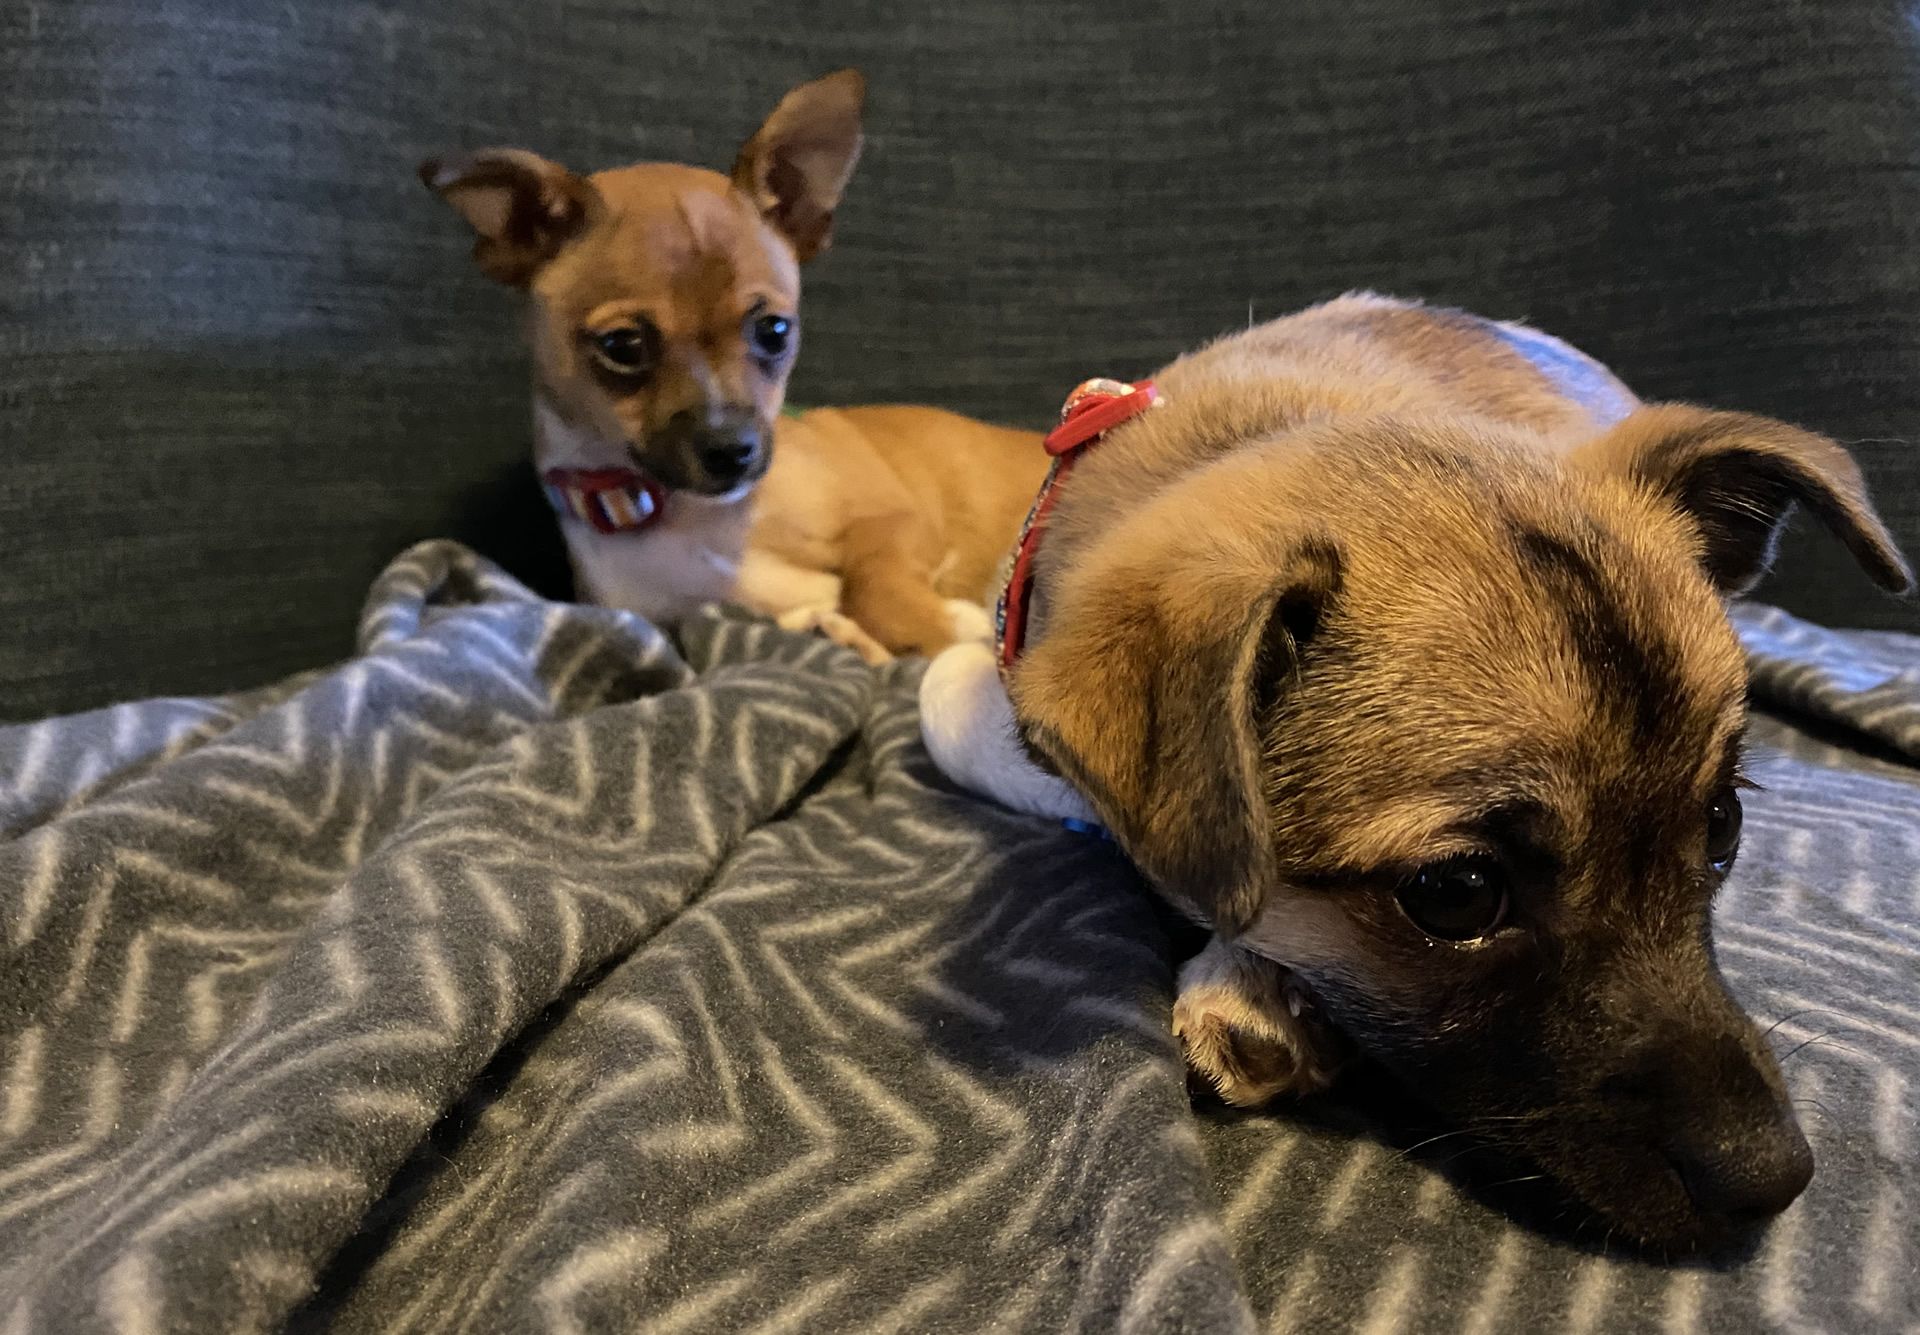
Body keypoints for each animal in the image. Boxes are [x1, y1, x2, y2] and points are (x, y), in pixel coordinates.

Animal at [426, 72, 1044, 656]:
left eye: (774, 331)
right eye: (623, 346)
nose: (733, 452)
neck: (693, 520)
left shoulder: (892, 520)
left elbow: (875, 588)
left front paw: (946, 626)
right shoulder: (660, 621)